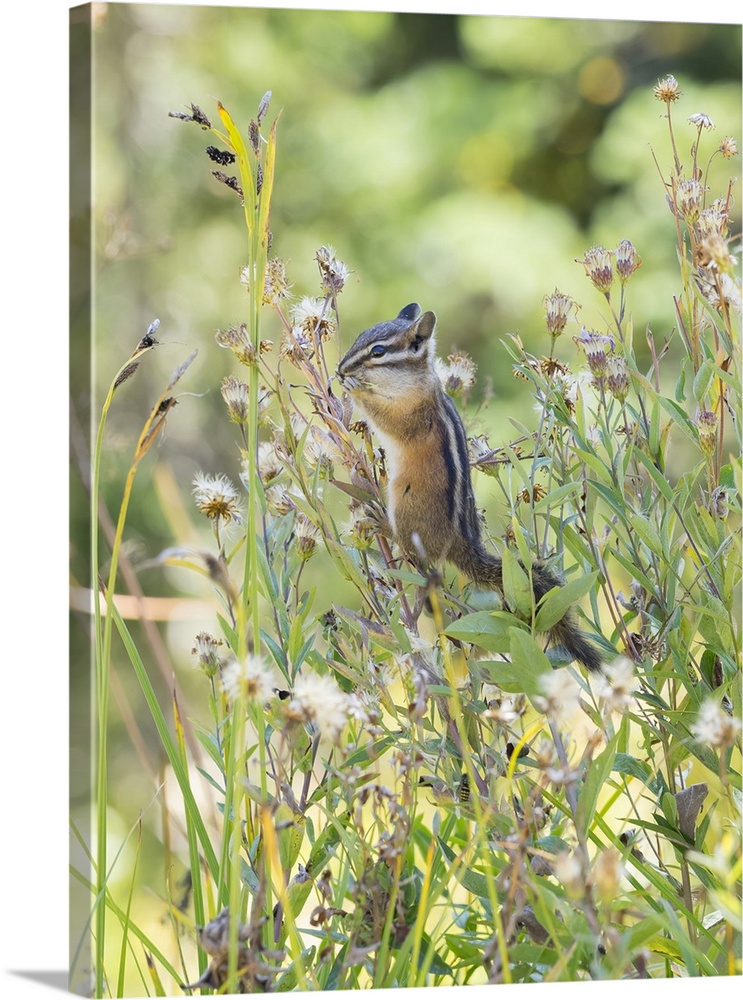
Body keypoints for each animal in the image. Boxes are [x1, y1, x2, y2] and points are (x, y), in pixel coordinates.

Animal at [336, 302, 602, 672]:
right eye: (361, 336)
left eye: (378, 351)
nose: (340, 368)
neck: (416, 383)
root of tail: (461, 544)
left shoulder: (411, 414)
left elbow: (386, 418)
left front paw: (354, 389)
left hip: (406, 507)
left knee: (411, 549)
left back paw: (383, 524)